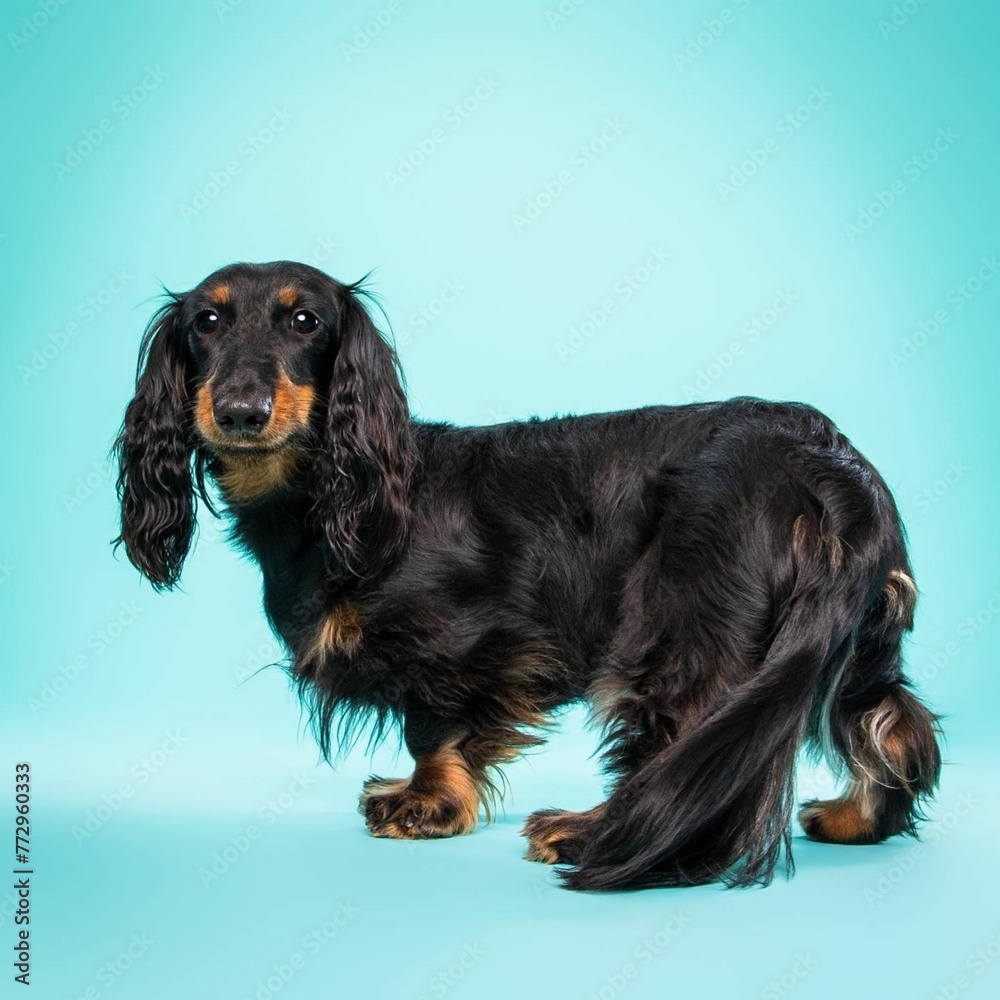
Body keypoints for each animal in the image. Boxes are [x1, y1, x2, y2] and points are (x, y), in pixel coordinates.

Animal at [113, 260, 940, 892]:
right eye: (206, 323)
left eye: (305, 321)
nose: (240, 410)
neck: (328, 503)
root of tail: (828, 459)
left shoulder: (458, 644)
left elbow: (433, 731)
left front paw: (426, 804)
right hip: (857, 636)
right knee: (890, 724)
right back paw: (855, 820)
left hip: (684, 621)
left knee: (691, 751)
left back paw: (592, 833)